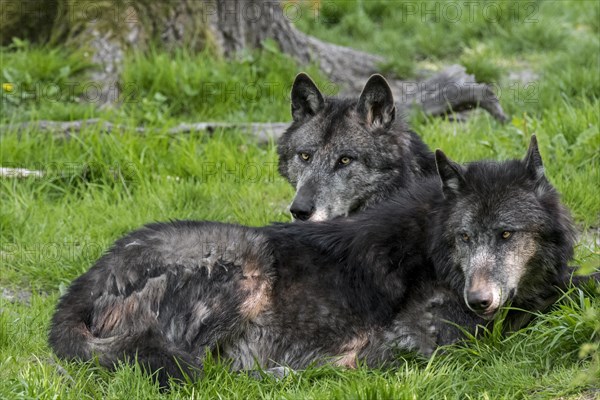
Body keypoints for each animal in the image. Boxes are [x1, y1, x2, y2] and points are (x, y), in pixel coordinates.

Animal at [50, 136, 596, 386]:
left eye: (505, 234)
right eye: (464, 238)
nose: (478, 299)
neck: (434, 249)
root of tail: (87, 279)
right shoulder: (422, 338)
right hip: (246, 263)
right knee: (198, 371)